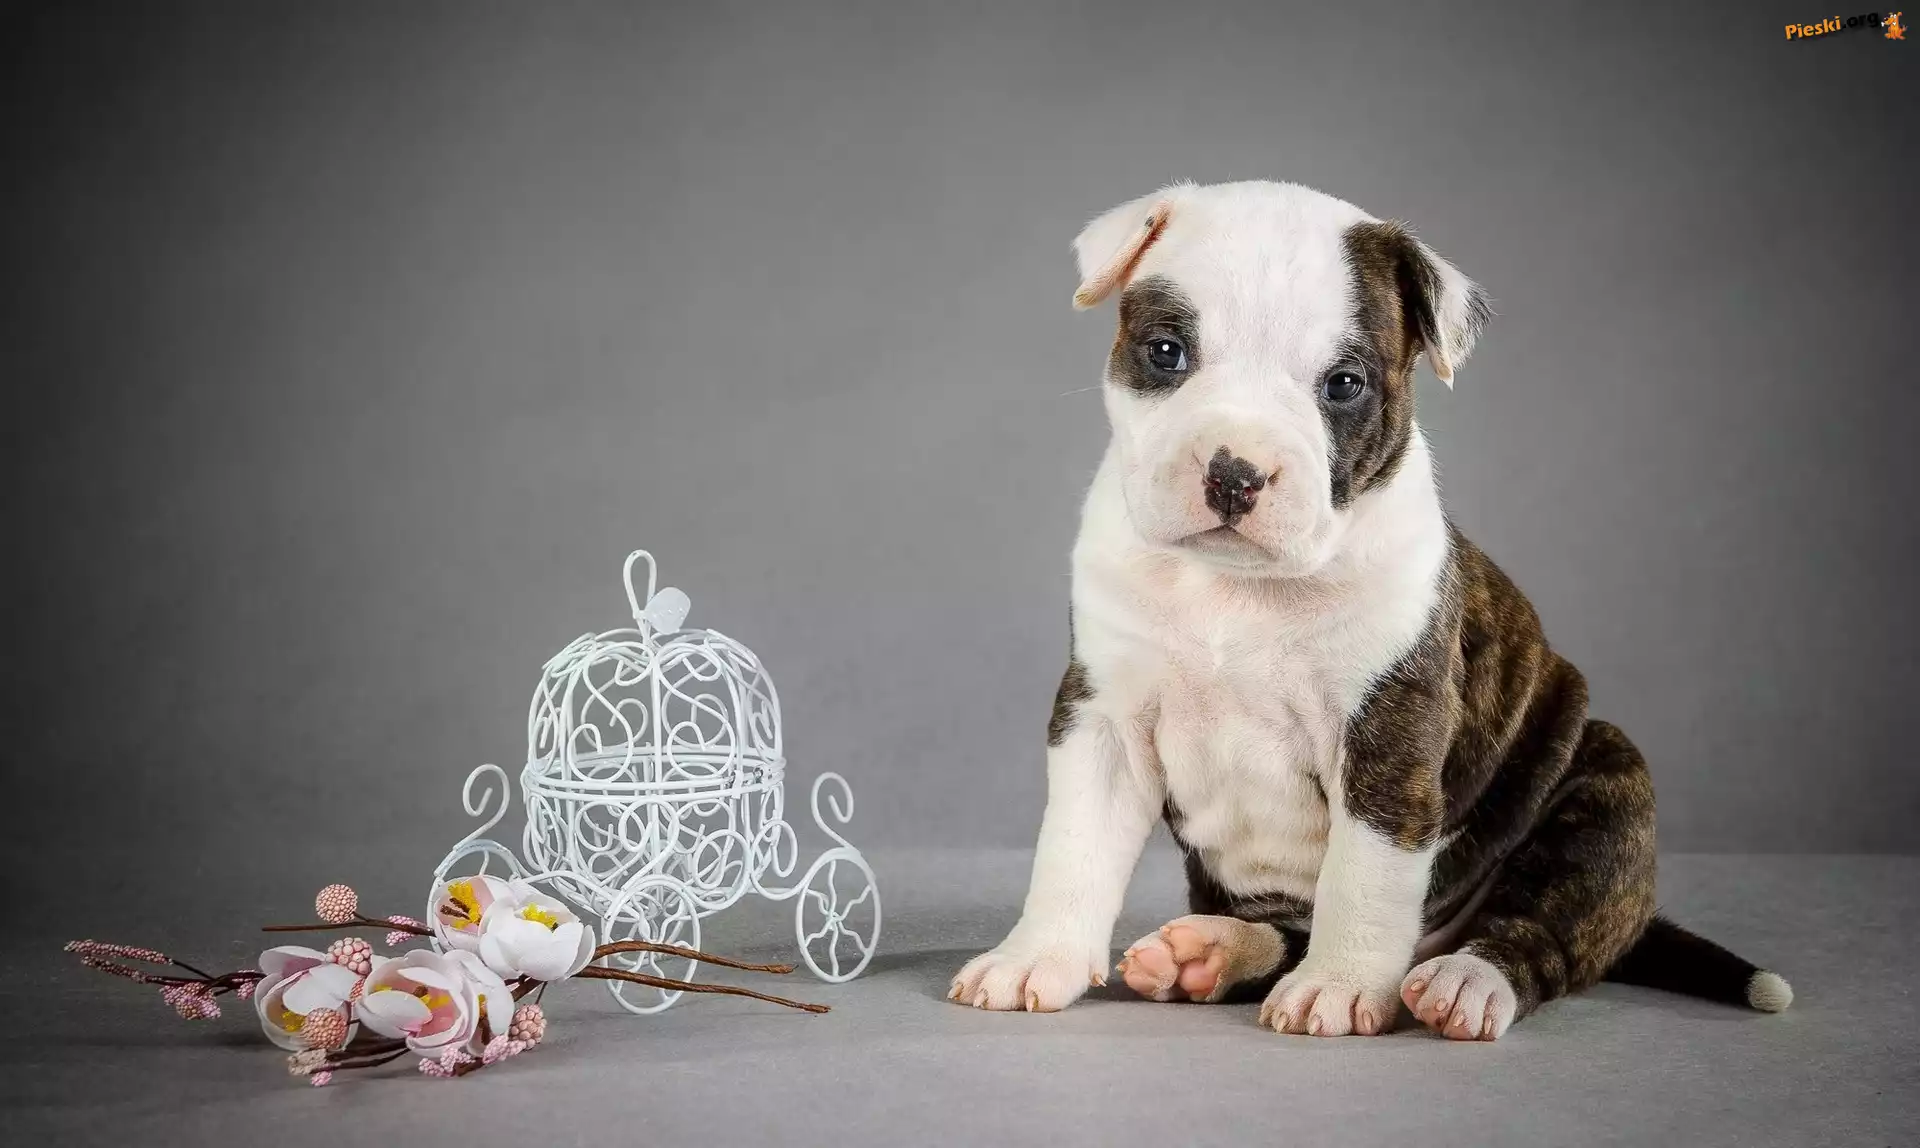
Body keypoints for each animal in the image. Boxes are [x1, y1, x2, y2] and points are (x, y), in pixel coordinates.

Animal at [948, 180, 1791, 1039]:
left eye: (1344, 385)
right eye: (1166, 353)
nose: (1234, 472)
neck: (1235, 588)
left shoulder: (1390, 731)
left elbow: (1366, 871)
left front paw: (1341, 985)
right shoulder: (1104, 719)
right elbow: (1073, 848)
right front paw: (1034, 959)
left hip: (1603, 783)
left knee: (1538, 932)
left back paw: (1464, 981)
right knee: (1287, 929)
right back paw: (1214, 953)